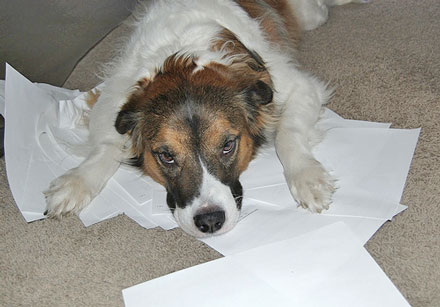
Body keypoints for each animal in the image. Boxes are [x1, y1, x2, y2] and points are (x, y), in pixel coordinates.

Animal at [44, 0, 368, 238]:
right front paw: (76, 182)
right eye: (166, 156)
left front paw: (307, 177)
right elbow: (105, 147)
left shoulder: (298, 87)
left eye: (227, 145)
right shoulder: (113, 98)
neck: (182, 61)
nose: (210, 222)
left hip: (310, 16)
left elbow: (288, 135)